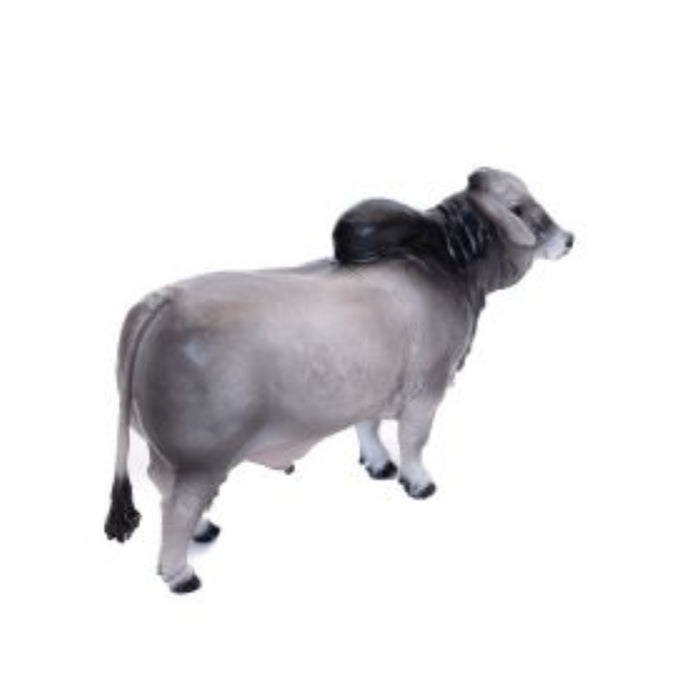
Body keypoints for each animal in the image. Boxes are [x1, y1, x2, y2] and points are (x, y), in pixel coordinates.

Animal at [105, 167, 574, 593]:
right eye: (519, 208)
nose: (569, 238)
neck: (444, 266)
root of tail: (161, 302)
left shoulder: (370, 391)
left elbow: (369, 428)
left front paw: (379, 464)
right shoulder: (427, 390)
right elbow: (414, 442)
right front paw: (418, 482)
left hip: (172, 455)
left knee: (163, 485)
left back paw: (202, 532)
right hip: (201, 461)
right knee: (178, 505)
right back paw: (181, 572)